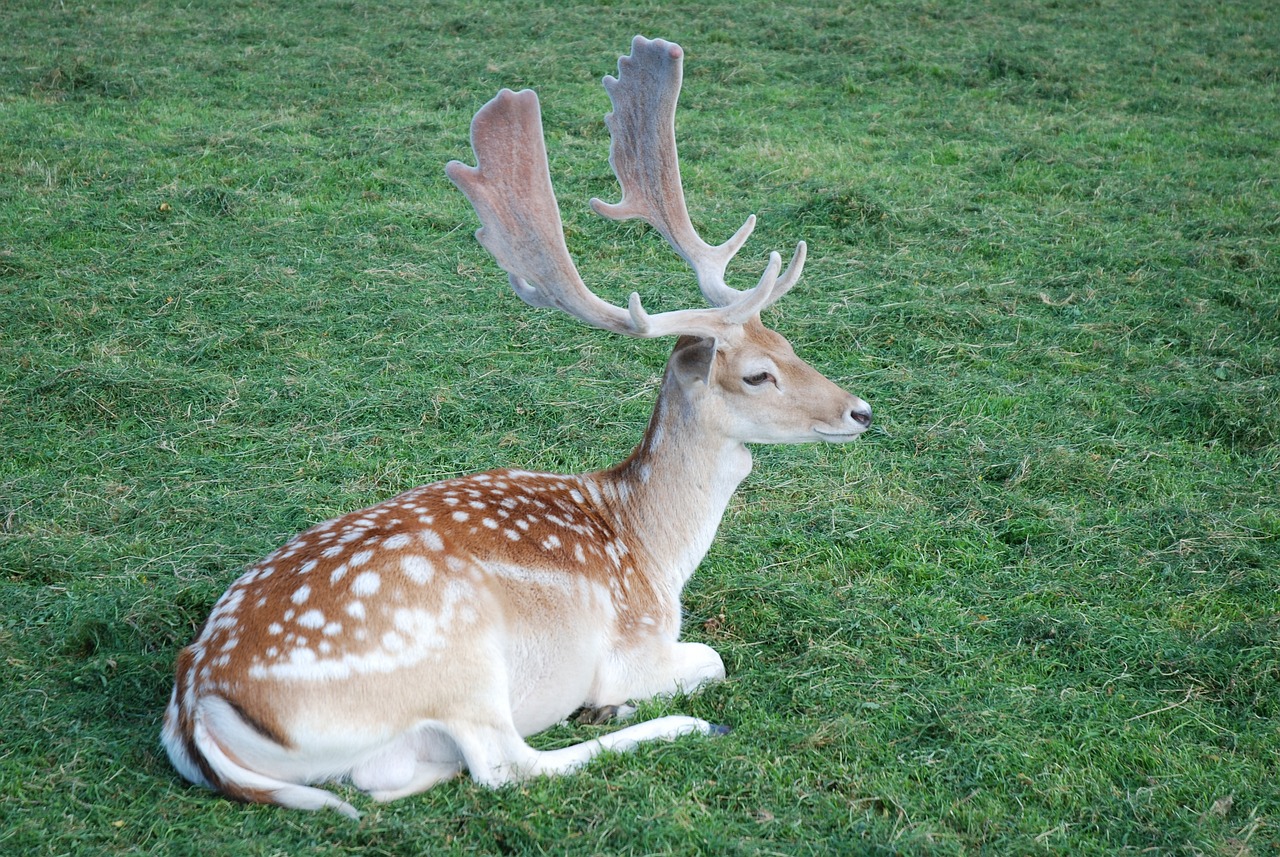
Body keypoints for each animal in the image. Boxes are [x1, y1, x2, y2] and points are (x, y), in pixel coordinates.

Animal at [162, 38, 870, 818]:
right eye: (756, 375)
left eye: (789, 344)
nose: (860, 410)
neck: (654, 552)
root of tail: (194, 706)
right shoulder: (637, 643)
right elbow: (710, 659)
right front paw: (616, 701)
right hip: (460, 660)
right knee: (506, 765)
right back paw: (666, 722)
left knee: (389, 781)